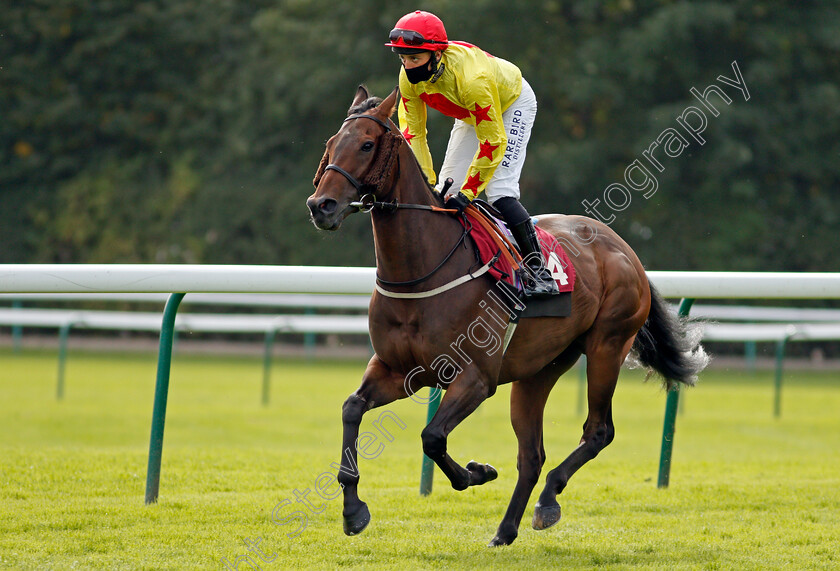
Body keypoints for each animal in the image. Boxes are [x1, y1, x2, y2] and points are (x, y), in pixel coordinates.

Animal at [306, 86, 704, 548]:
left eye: (367, 145)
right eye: (330, 144)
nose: (321, 205)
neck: (421, 271)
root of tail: (625, 249)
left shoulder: (475, 379)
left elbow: (432, 437)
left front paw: (475, 473)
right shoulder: (397, 370)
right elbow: (352, 409)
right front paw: (353, 510)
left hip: (607, 346)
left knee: (598, 431)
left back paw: (548, 501)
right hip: (539, 370)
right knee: (532, 454)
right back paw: (507, 528)